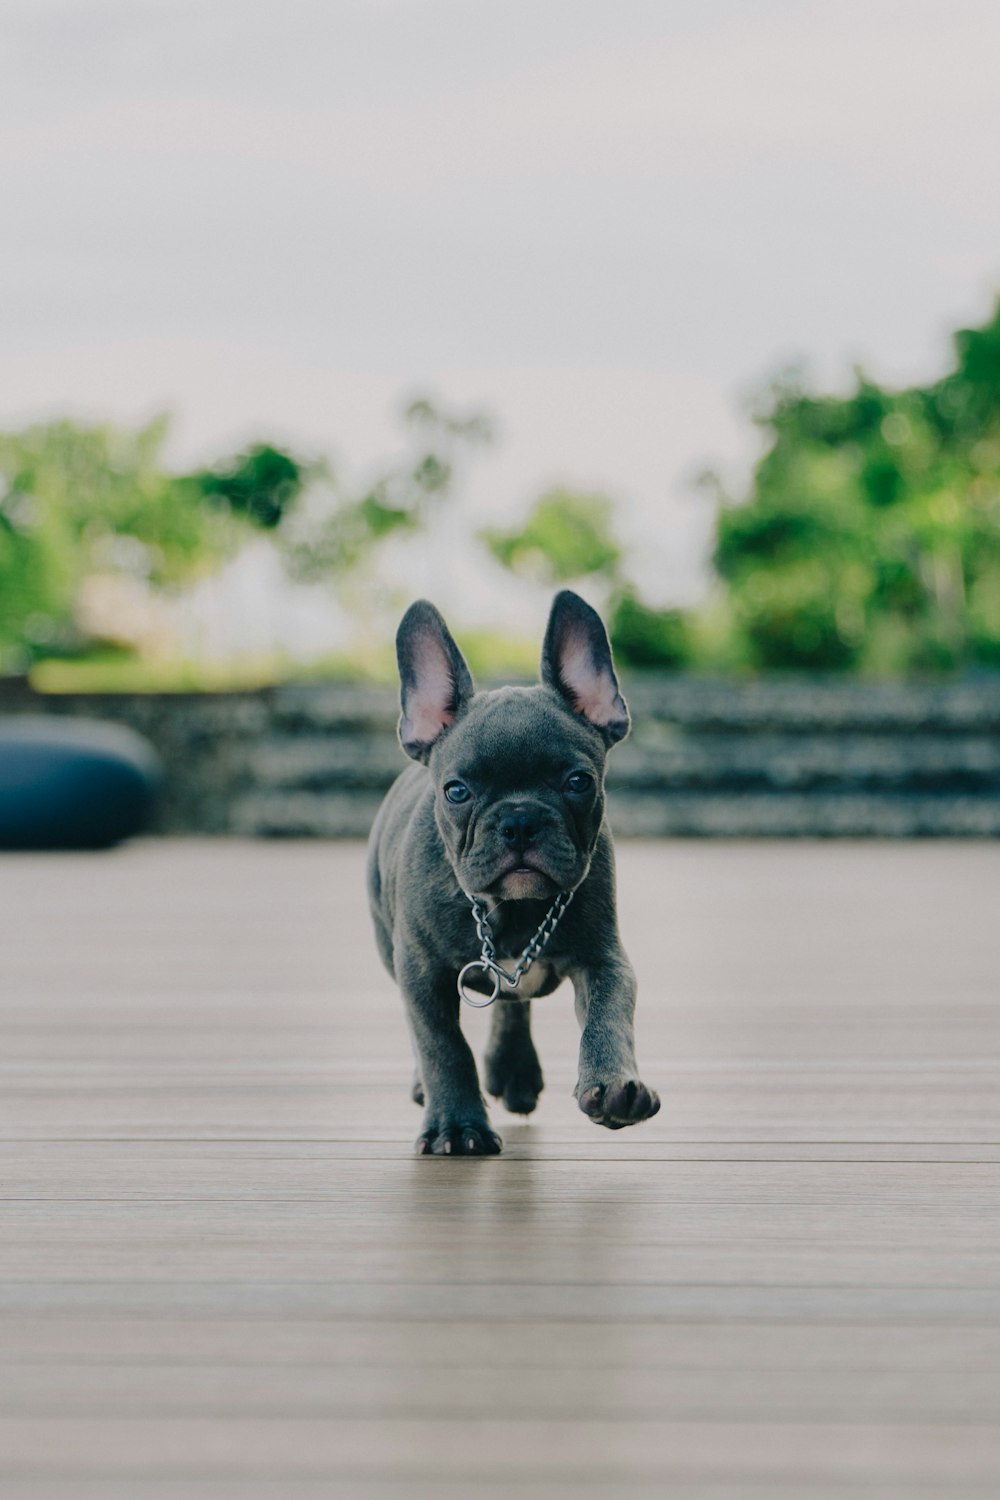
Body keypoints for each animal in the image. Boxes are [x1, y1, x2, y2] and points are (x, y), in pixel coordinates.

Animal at [365, 591, 656, 1152]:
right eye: (457, 791)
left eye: (578, 781)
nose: (520, 821)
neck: (514, 910)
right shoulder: (420, 970)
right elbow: (442, 1046)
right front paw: (457, 1126)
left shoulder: (604, 957)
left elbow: (609, 1015)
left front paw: (613, 1085)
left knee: (512, 1001)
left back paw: (514, 1071)